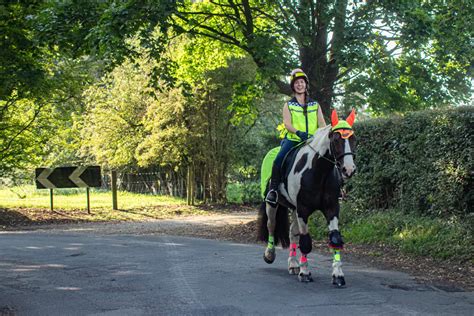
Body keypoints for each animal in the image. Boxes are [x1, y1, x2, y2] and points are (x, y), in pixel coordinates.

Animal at [260, 108, 356, 286]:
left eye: (353, 139)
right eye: (336, 139)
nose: (349, 169)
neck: (319, 171)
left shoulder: (331, 208)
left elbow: (335, 239)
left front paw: (338, 275)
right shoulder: (303, 209)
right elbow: (305, 242)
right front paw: (305, 272)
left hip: (294, 208)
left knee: (292, 232)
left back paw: (293, 264)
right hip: (273, 204)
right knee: (272, 225)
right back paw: (269, 255)